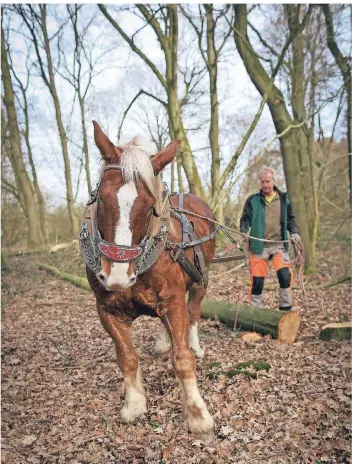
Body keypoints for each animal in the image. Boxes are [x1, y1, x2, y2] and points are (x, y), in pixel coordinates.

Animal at [84, 121, 217, 436]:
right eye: (101, 198)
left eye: (149, 206)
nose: (117, 277)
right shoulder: (106, 310)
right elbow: (127, 358)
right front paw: (134, 404)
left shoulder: (174, 300)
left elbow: (183, 359)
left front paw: (197, 415)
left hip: (200, 280)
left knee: (193, 312)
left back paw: (194, 344)